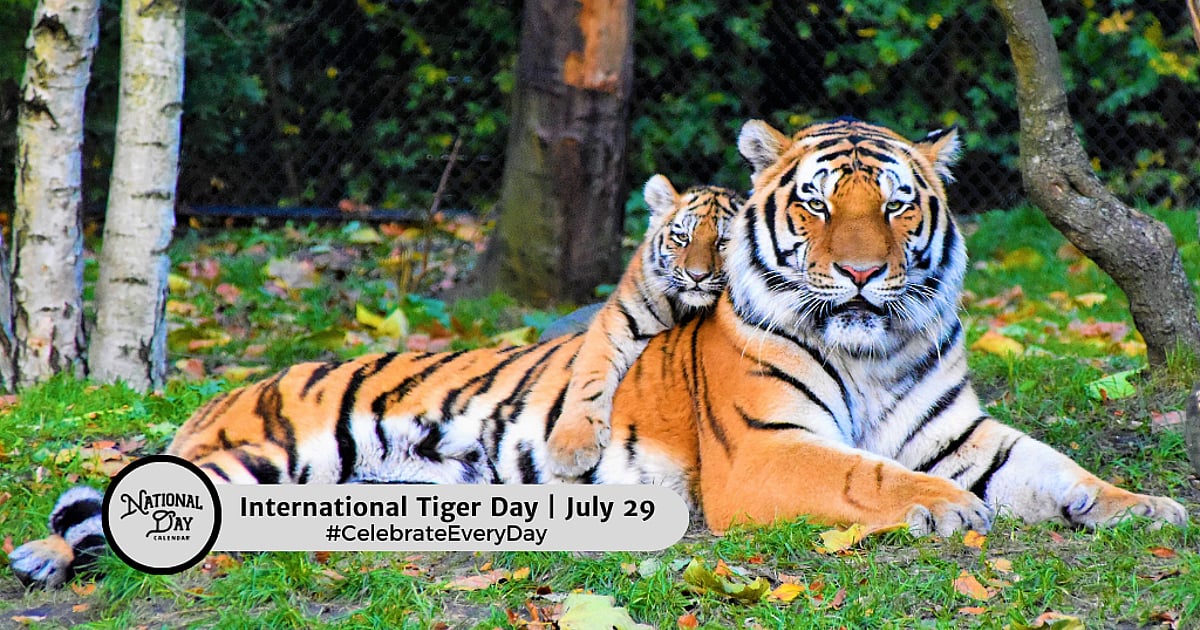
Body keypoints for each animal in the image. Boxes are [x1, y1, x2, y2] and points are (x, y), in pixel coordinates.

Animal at [544, 175, 740, 476]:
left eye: (723, 241)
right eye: (682, 237)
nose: (697, 276)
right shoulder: (615, 323)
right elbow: (589, 378)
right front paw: (571, 448)